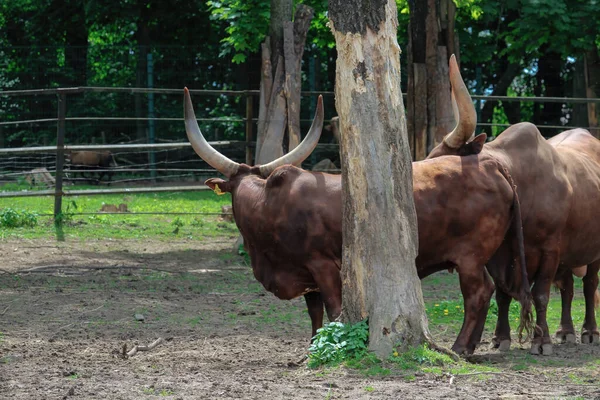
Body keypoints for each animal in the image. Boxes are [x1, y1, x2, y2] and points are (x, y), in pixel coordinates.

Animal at [183, 86, 528, 354]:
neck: (267, 205)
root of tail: (490, 164)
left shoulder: (323, 266)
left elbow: (335, 310)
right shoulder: (307, 279)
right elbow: (315, 315)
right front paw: (312, 347)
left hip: (470, 256)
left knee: (478, 292)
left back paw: (459, 347)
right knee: (493, 289)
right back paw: (470, 346)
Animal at [428, 54, 596, 354]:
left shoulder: (550, 250)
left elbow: (540, 295)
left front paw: (541, 340)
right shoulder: (500, 254)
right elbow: (503, 295)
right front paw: (501, 337)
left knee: (588, 284)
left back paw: (589, 331)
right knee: (568, 287)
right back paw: (566, 331)